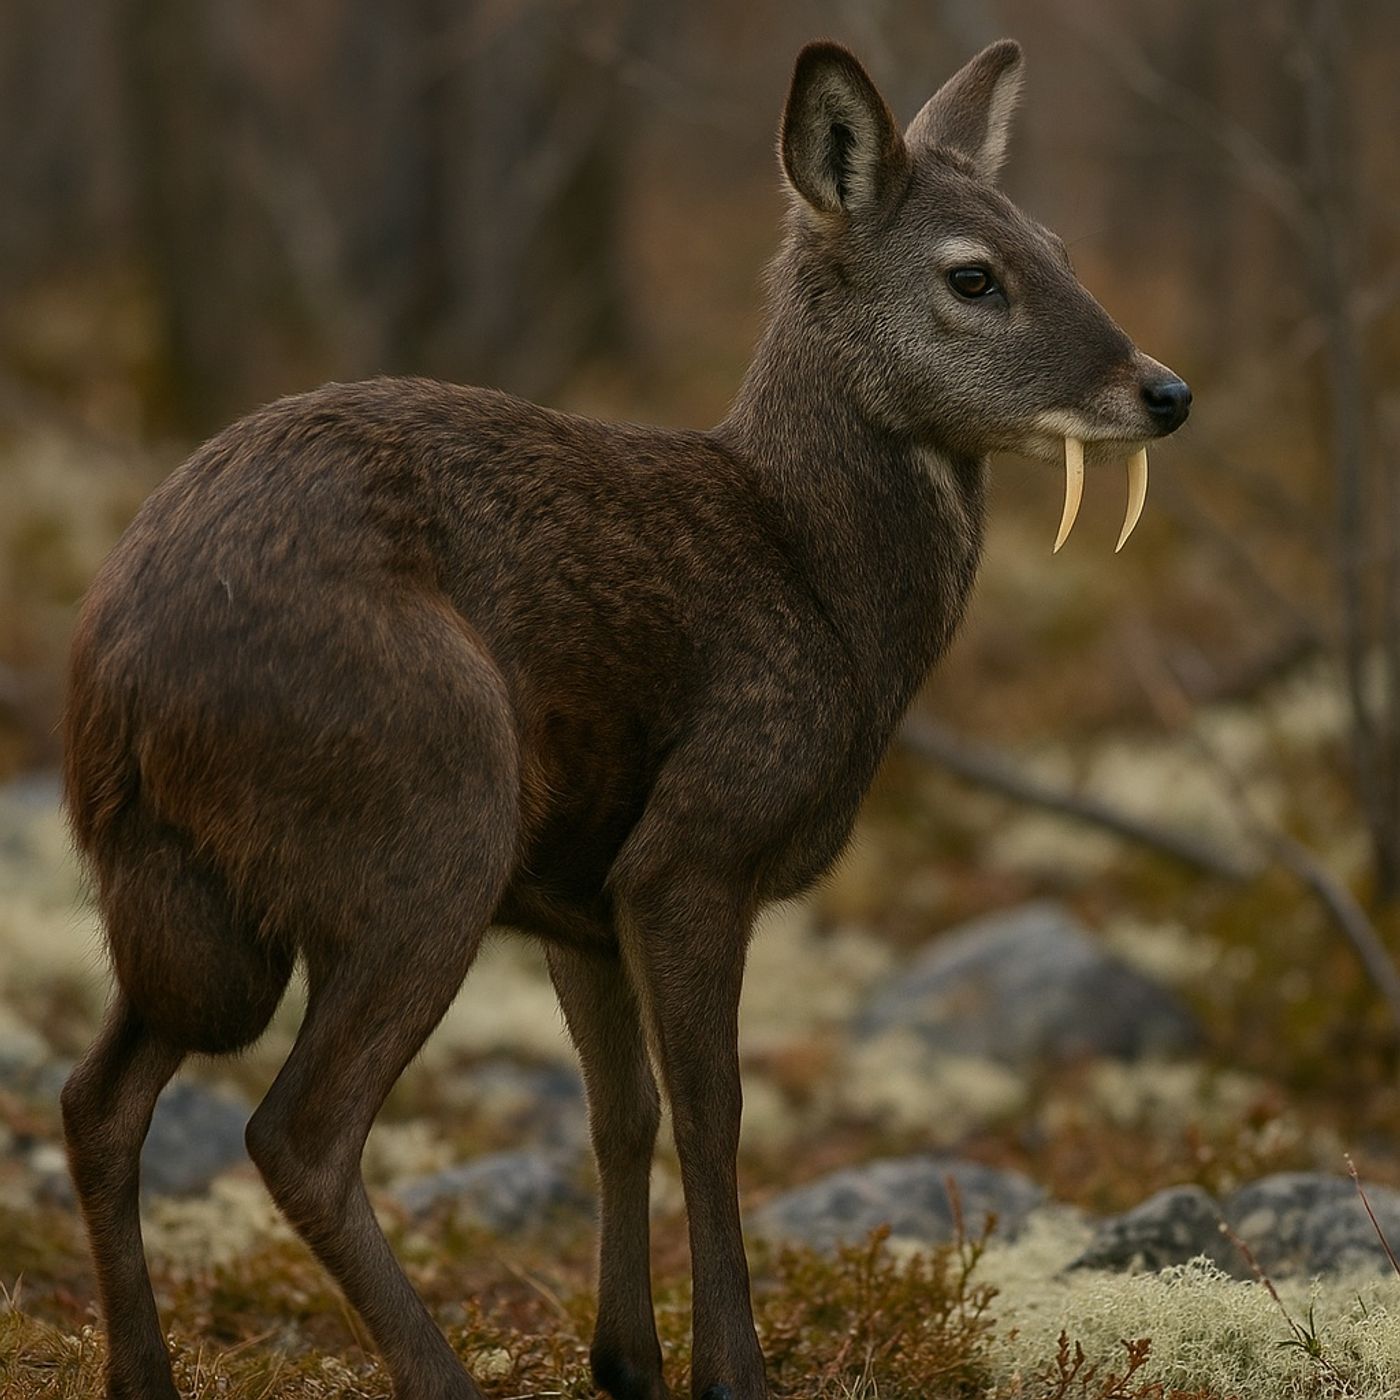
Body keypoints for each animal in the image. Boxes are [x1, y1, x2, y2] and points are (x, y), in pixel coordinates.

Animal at [59, 36, 1190, 1400]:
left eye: (1059, 246)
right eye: (973, 275)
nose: (1164, 388)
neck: (826, 598)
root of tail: (117, 683)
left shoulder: (577, 897)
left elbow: (621, 1112)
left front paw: (627, 1357)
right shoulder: (691, 844)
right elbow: (713, 1113)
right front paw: (733, 1368)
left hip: (184, 899)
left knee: (96, 1099)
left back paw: (146, 1372)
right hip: (425, 818)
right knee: (297, 1128)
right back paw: (440, 1373)